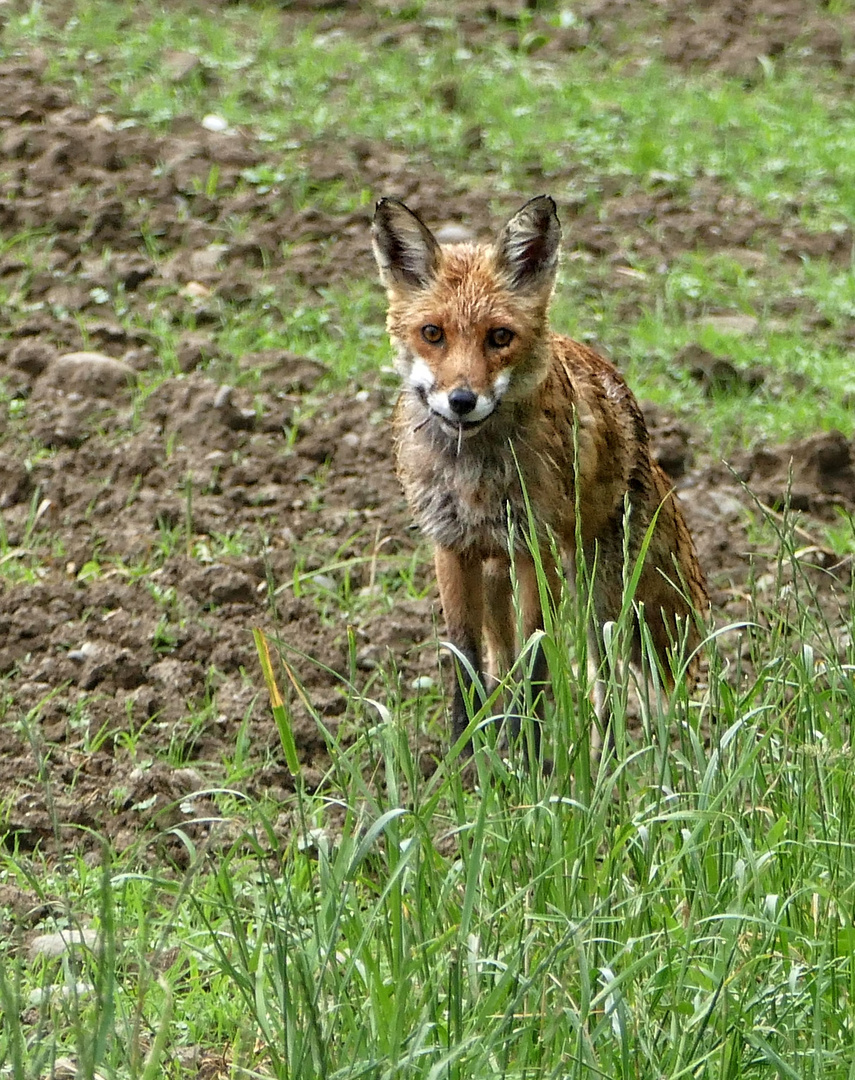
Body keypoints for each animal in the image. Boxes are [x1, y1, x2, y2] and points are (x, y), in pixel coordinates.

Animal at [371, 194, 703, 756]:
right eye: (432, 334)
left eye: (500, 337)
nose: (462, 401)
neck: (475, 478)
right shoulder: (451, 548)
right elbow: (466, 665)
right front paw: (464, 761)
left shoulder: (536, 550)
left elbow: (537, 663)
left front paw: (530, 763)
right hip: (501, 581)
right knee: (502, 661)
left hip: (602, 594)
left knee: (609, 680)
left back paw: (610, 759)